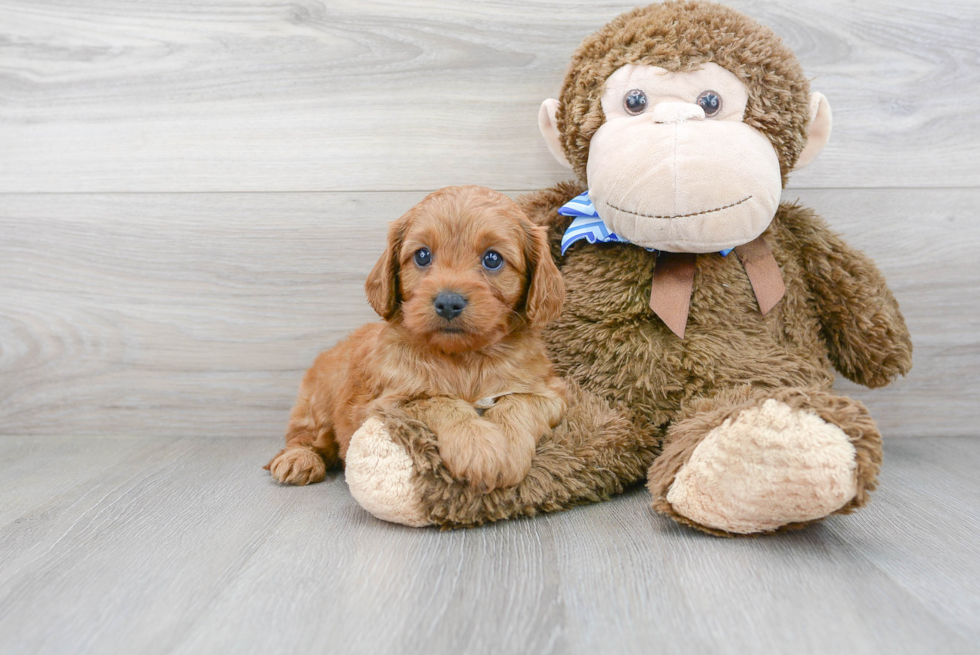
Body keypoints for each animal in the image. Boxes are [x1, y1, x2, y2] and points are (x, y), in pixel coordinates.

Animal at [268, 184, 568, 492]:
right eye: (422, 255)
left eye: (492, 259)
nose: (448, 302)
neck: (466, 359)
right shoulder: (387, 404)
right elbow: (439, 402)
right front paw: (479, 447)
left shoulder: (549, 391)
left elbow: (517, 403)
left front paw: (508, 448)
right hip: (317, 400)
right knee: (304, 436)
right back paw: (298, 459)